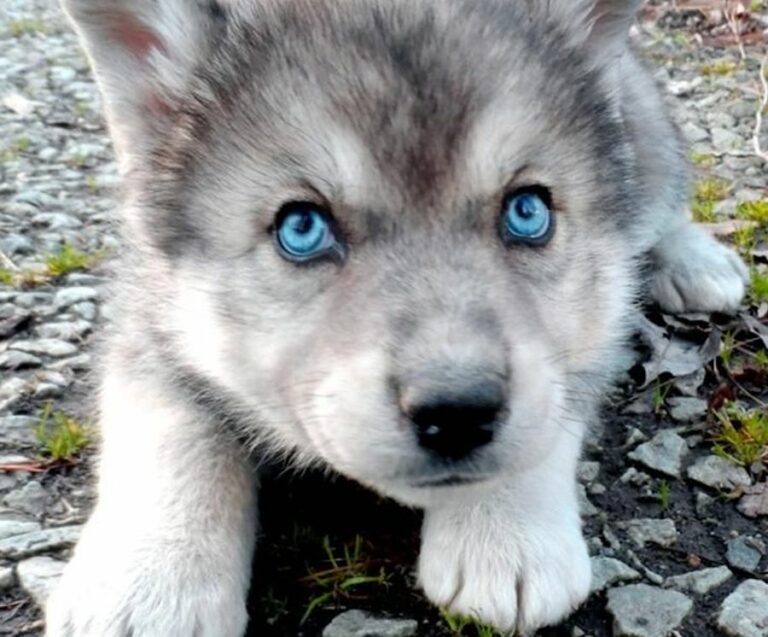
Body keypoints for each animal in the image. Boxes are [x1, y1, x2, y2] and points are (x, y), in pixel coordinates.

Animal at [47, 0, 747, 634]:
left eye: (528, 212)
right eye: (301, 228)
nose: (458, 412)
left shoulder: (599, 316)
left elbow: (555, 400)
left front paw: (506, 533)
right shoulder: (145, 310)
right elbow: (173, 428)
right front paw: (150, 580)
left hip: (645, 134)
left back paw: (697, 262)